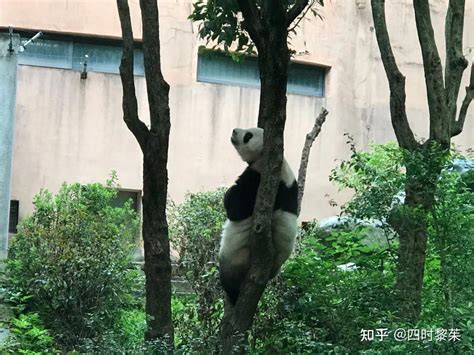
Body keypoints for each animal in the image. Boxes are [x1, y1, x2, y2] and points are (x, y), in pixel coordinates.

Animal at [218, 128, 296, 306]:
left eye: (248, 136)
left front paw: (229, 193)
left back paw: (232, 295)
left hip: (237, 257)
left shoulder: (258, 180)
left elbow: (236, 208)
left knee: (227, 276)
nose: (234, 130)